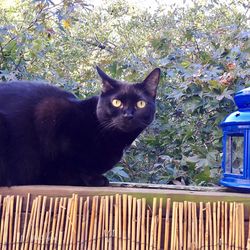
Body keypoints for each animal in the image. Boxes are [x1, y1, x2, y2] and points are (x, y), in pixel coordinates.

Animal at [0, 66, 160, 186]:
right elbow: (69, 166)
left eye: (140, 104)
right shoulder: (50, 112)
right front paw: (93, 179)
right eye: (116, 102)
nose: (128, 115)